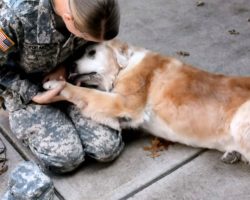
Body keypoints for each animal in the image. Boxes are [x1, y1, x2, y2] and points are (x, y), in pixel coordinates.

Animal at [43, 39, 250, 164]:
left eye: (92, 52)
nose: (70, 65)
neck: (124, 67)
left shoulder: (124, 103)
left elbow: (85, 92)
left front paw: (56, 84)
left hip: (240, 121)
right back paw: (233, 154)